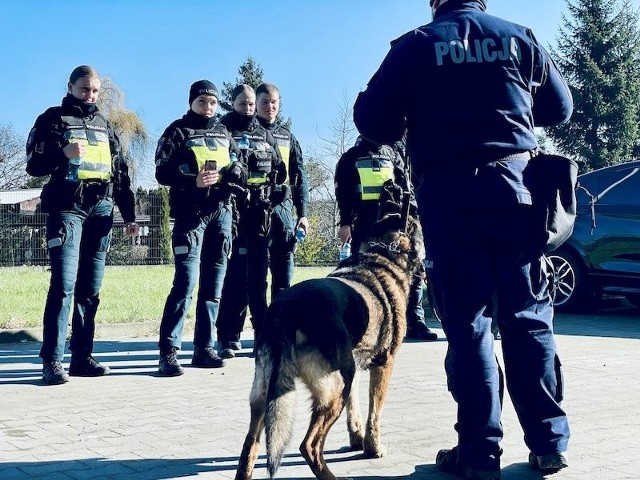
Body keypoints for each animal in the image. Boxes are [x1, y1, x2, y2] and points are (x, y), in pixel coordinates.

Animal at [235, 208, 424, 478]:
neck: (383, 254)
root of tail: (286, 311)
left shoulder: (355, 366)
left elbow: (355, 410)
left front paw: (356, 439)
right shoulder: (383, 365)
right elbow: (374, 413)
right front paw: (372, 447)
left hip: (264, 394)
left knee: (250, 445)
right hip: (335, 388)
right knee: (309, 446)